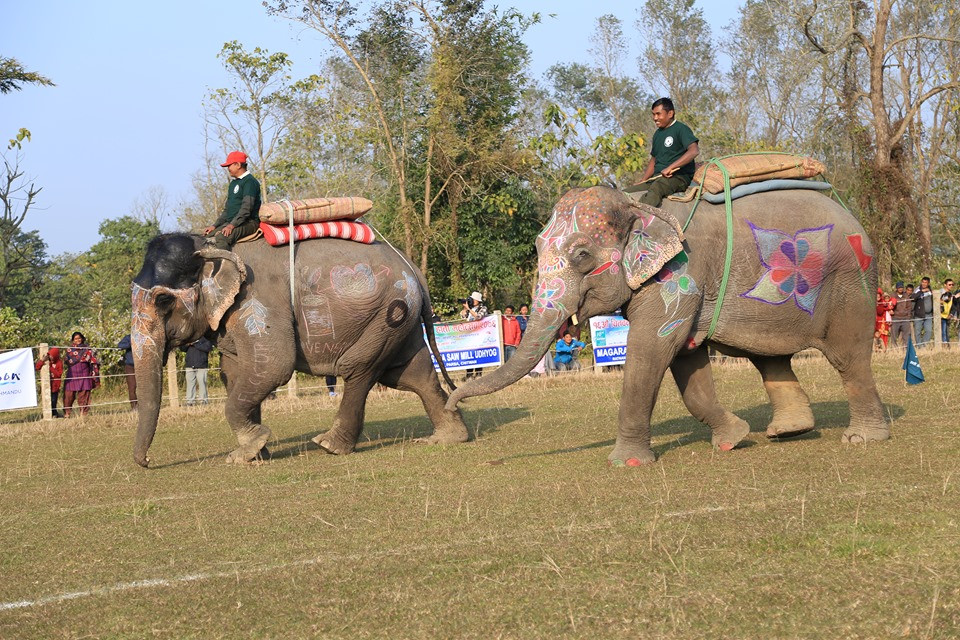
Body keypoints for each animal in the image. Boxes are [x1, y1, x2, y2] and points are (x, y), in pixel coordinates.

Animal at [131, 232, 468, 468]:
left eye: (163, 300)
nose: (146, 462)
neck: (209, 243)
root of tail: (411, 266)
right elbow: (235, 373)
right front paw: (255, 453)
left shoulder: (258, 299)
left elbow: (272, 366)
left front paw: (248, 449)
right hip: (399, 323)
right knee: (411, 374)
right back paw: (448, 438)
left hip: (385, 315)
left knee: (359, 368)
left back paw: (330, 445)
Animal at [446, 185, 888, 464]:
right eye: (537, 247)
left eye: (582, 255)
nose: (454, 405)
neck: (638, 204)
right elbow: (686, 362)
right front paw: (734, 438)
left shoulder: (680, 274)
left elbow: (651, 351)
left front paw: (627, 463)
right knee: (770, 358)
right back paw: (788, 432)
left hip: (851, 284)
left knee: (848, 358)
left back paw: (862, 438)